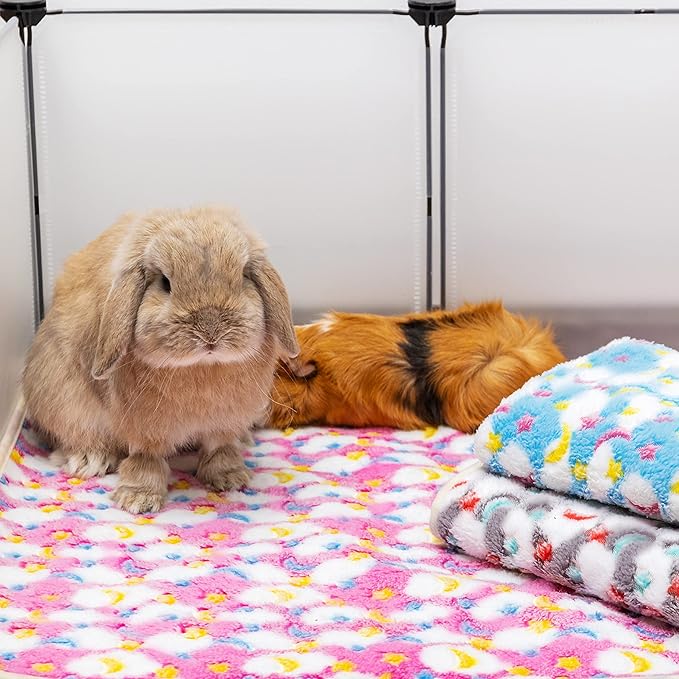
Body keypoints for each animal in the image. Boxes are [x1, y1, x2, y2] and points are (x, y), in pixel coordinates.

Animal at [23, 206, 298, 514]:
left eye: (241, 277)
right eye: (165, 283)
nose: (210, 330)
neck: (202, 367)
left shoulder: (223, 421)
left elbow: (219, 448)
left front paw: (230, 478)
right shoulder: (144, 427)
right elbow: (146, 460)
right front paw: (139, 500)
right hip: (65, 405)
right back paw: (90, 461)